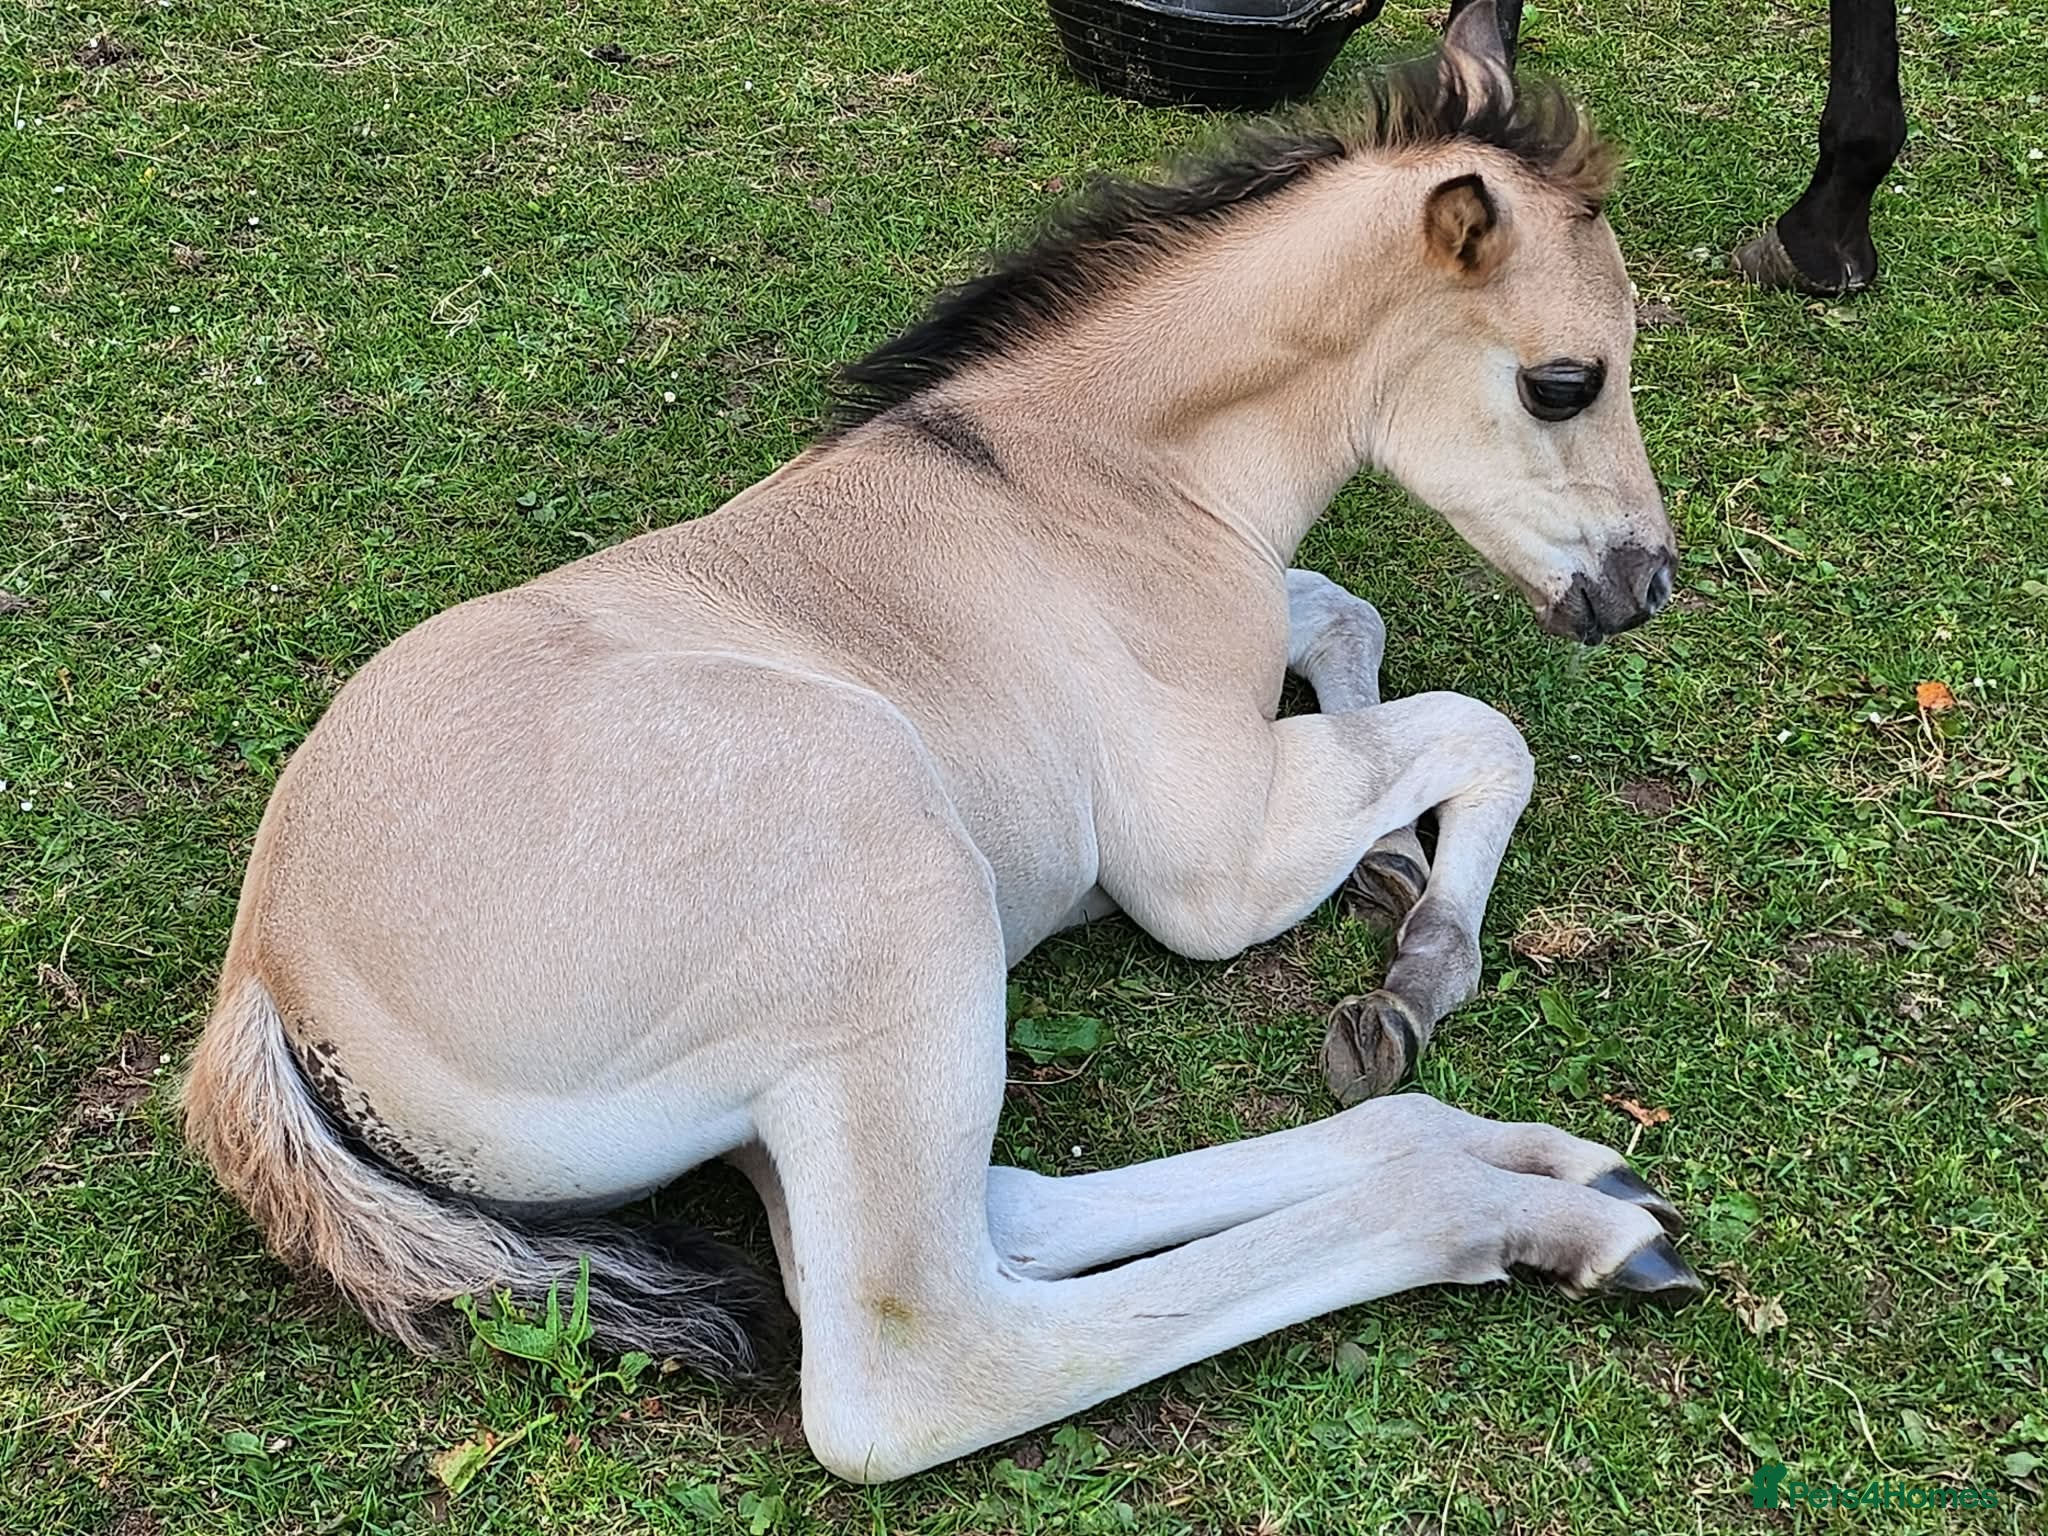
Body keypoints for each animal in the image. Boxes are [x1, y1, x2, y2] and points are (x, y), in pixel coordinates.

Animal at [183, 4, 1699, 1482]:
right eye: (1565, 381)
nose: (1644, 587)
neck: (1089, 477)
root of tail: (270, 987)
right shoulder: (1206, 876)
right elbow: (1479, 728)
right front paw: (1420, 965)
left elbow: (1343, 615)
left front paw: (1390, 865)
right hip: (903, 904)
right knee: (926, 1360)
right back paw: (1539, 1219)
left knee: (1003, 1213)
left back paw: (1537, 1161)